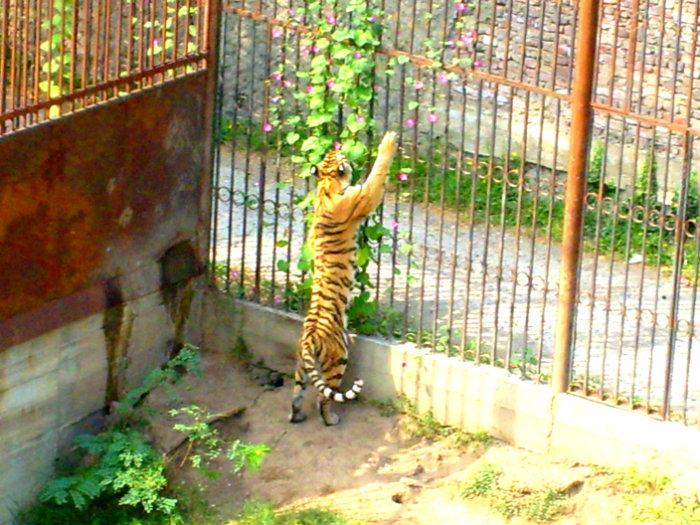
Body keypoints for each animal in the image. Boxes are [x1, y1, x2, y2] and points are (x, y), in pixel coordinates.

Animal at [290, 131, 400, 426]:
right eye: (340, 157)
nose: (339, 147)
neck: (326, 182)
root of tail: (309, 338)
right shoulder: (364, 196)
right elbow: (377, 175)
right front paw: (388, 142)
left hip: (301, 366)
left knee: (297, 393)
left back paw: (296, 416)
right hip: (338, 360)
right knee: (324, 397)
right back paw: (331, 419)